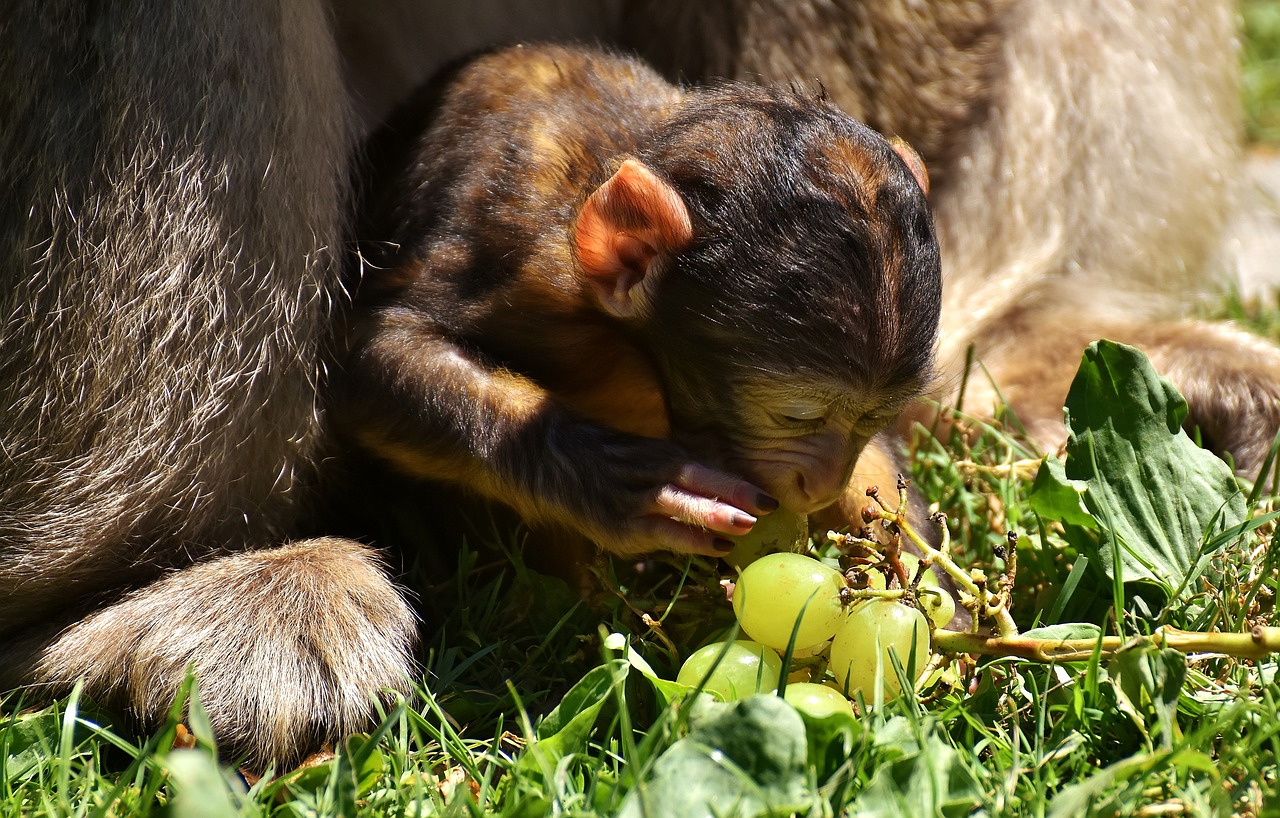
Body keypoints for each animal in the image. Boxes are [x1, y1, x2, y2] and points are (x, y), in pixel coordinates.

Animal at [340, 43, 942, 558]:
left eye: (872, 418)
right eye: (795, 416)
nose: (820, 485)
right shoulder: (521, 255)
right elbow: (370, 354)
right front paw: (611, 478)